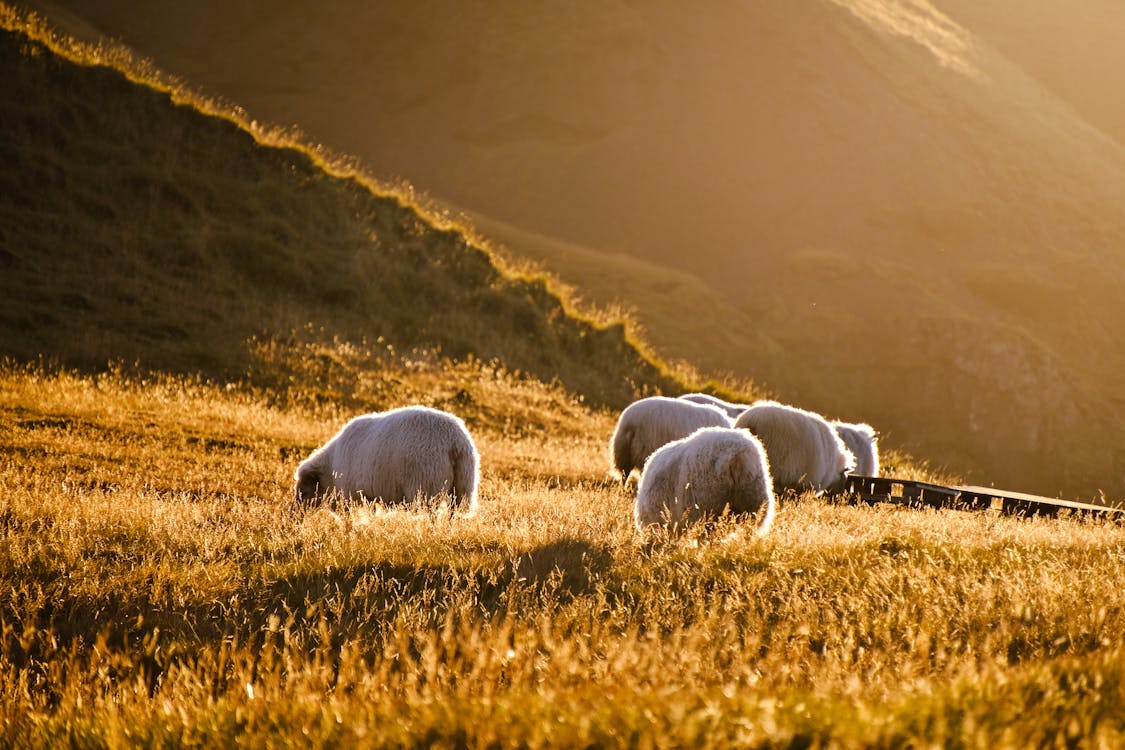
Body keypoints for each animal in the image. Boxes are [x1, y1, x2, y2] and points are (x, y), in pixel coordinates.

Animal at [294, 405, 479, 512]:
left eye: (303, 491)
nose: (295, 517)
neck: (330, 468)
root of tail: (454, 441)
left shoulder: (351, 495)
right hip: (463, 484)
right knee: (454, 512)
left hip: (426, 485)